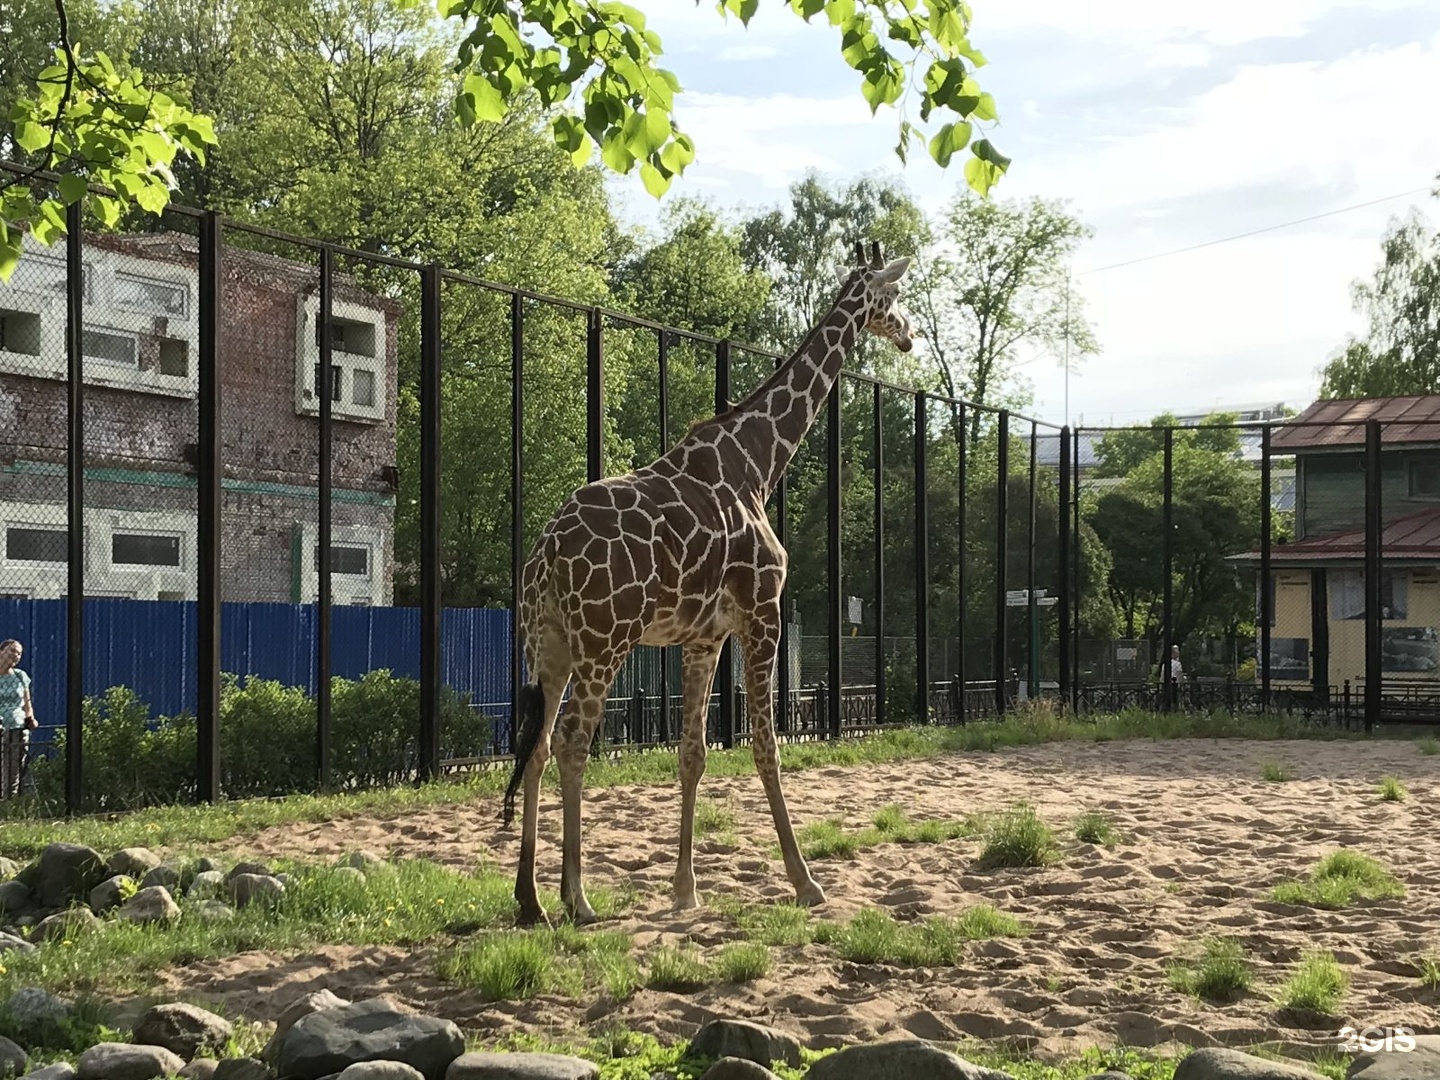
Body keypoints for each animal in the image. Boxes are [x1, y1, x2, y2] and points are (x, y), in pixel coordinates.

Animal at [501, 240, 915, 927]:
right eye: (893, 297)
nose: (907, 335)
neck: (758, 463)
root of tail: (546, 555)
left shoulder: (703, 637)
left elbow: (693, 753)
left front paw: (685, 889)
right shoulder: (762, 613)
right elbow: (767, 747)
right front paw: (805, 882)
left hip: (549, 645)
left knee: (533, 746)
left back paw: (531, 899)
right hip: (604, 641)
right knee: (572, 742)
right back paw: (578, 899)